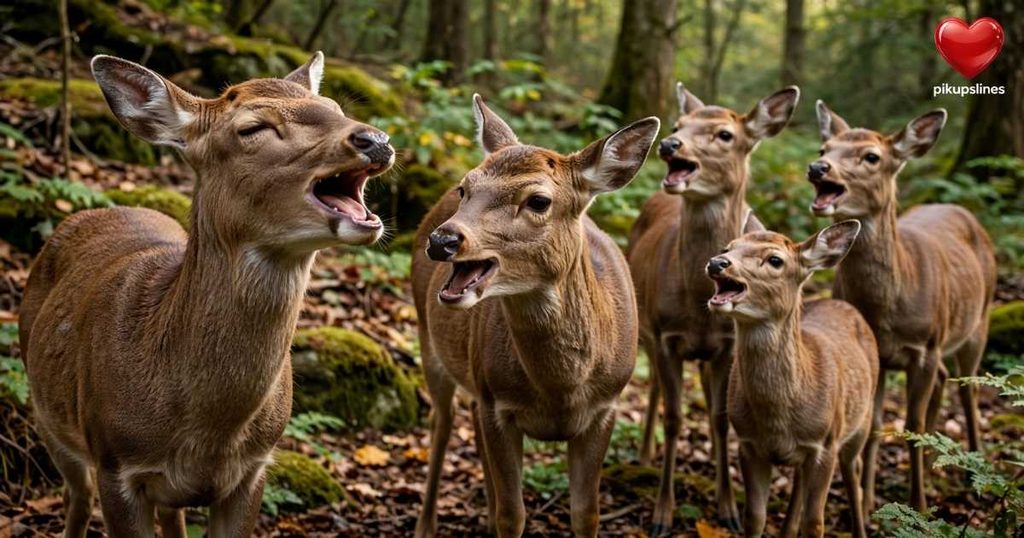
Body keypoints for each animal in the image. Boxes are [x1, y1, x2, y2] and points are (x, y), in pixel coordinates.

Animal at [18, 52, 394, 537]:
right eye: (253, 128)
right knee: (77, 497)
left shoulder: (254, 468)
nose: (375, 139)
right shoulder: (115, 464)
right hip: (47, 414)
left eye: (333, 106)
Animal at [410, 94, 659, 538]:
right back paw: (426, 525)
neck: (560, 389)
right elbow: (513, 515)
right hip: (430, 342)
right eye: (466, 188)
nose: (443, 240)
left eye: (539, 200)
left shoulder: (606, 407)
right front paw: (499, 517)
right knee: (441, 424)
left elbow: (586, 512)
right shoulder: (498, 405)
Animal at [627, 82, 800, 534]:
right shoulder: (665, 335)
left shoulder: (726, 344)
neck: (696, 305)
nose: (669, 144)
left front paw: (729, 509)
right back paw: (644, 454)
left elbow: (722, 420)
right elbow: (673, 418)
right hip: (647, 329)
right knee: (655, 388)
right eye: (677, 124)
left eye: (725, 134)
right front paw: (661, 515)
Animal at [707, 221, 877, 538]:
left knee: (854, 474)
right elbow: (755, 517)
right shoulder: (749, 444)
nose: (717, 262)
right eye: (728, 246)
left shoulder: (825, 444)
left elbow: (815, 522)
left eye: (775, 259)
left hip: (860, 421)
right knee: (799, 485)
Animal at [809, 101, 996, 512]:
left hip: (979, 320)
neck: (887, 309)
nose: (818, 168)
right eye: (824, 147)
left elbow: (912, 426)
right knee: (945, 378)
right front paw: (867, 503)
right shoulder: (880, 355)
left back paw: (974, 471)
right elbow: (877, 428)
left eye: (872, 156)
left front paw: (920, 504)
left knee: (968, 389)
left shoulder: (925, 345)